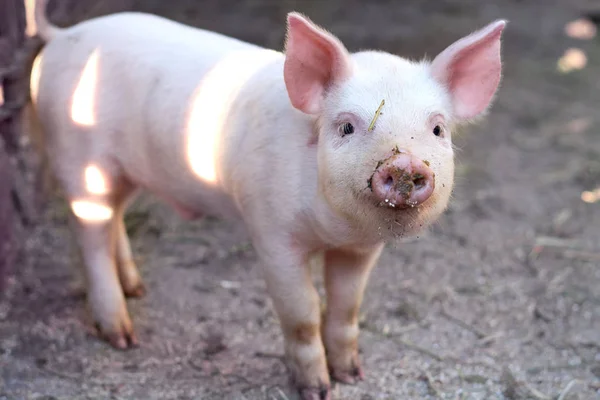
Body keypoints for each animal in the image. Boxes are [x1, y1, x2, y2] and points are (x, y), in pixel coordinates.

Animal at [28, 0, 506, 396]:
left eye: (438, 128)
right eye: (346, 126)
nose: (404, 163)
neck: (334, 231)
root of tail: (63, 36)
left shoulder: (360, 250)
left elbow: (346, 308)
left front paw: (353, 375)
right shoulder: (272, 234)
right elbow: (303, 313)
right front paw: (317, 390)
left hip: (124, 173)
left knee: (115, 219)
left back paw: (138, 288)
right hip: (77, 159)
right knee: (89, 233)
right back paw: (124, 337)